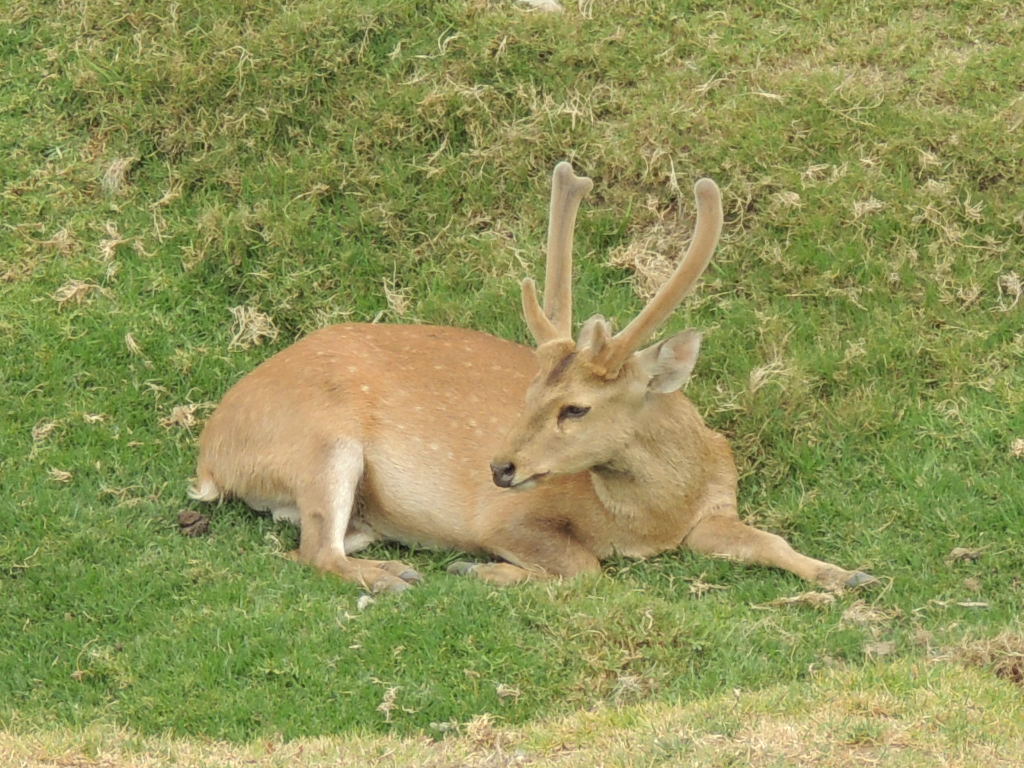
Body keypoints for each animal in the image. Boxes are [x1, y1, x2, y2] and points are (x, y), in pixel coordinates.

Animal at [190, 162, 875, 594]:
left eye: (576, 407)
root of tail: (210, 453)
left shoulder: (713, 510)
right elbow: (585, 570)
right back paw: (396, 579)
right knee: (315, 552)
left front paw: (849, 574)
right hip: (320, 442)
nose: (500, 468)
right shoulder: (505, 519)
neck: (648, 519)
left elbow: (770, 541)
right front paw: (483, 572)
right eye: (529, 392)